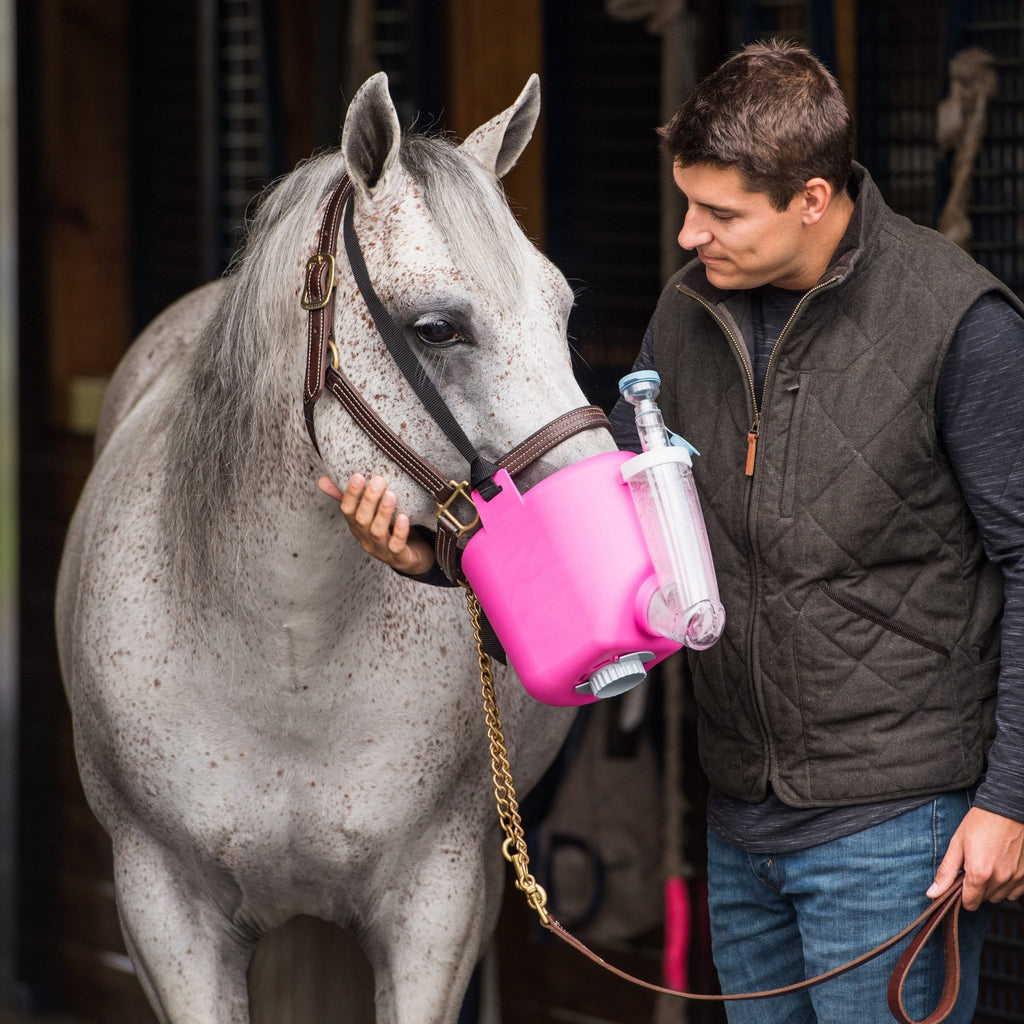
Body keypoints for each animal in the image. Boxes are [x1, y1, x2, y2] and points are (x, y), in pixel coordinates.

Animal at [55, 72, 616, 1023]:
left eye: (561, 310)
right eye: (437, 329)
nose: (601, 518)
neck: (288, 652)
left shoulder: (439, 907)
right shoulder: (166, 912)